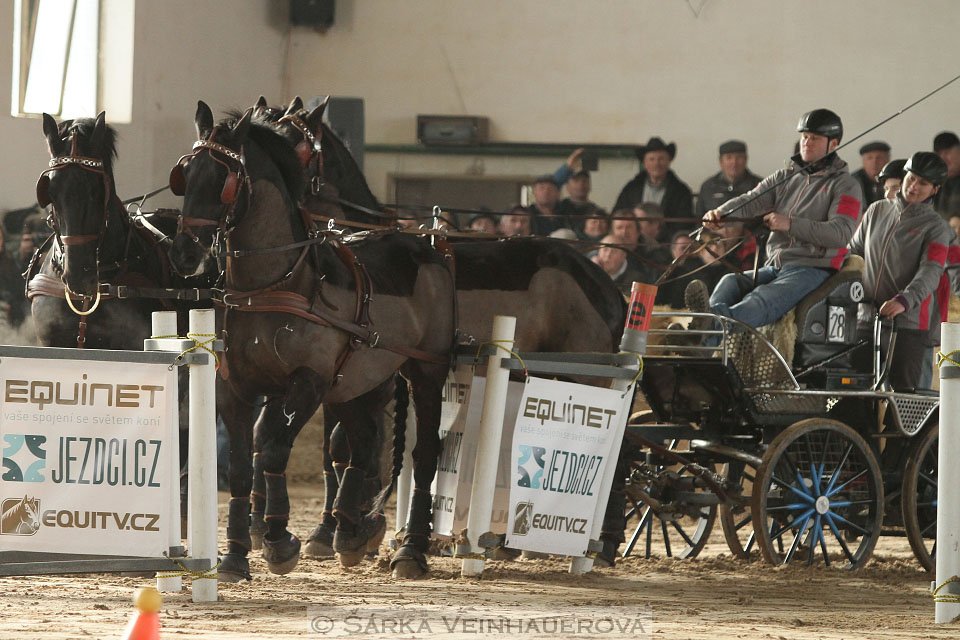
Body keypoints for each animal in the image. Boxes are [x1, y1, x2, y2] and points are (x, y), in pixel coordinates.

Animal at [167, 101, 456, 580]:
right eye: (185, 175)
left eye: (224, 181)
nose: (185, 253)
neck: (274, 283)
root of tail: (428, 247)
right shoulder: (235, 389)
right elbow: (243, 465)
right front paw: (235, 554)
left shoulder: (308, 382)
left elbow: (272, 449)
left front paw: (278, 539)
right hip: (353, 383)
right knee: (361, 443)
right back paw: (349, 533)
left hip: (424, 372)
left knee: (423, 454)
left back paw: (410, 549)